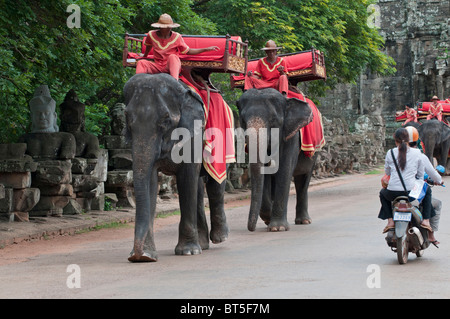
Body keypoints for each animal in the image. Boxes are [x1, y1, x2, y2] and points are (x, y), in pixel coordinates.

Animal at [123, 73, 229, 262]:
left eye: (165, 120)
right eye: (128, 119)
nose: (136, 255)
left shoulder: (192, 132)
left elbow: (187, 178)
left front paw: (188, 251)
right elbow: (150, 179)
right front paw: (147, 256)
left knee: (215, 183)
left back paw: (219, 237)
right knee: (199, 187)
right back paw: (203, 244)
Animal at [237, 89, 314, 231]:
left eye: (273, 120)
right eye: (243, 121)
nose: (251, 228)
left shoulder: (291, 136)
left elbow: (284, 170)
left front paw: (278, 228)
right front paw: (268, 218)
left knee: (303, 179)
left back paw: (304, 221)